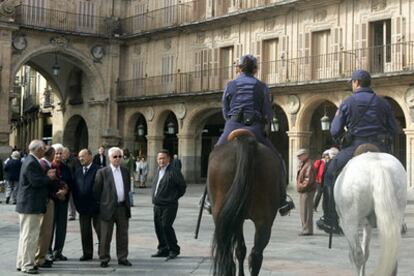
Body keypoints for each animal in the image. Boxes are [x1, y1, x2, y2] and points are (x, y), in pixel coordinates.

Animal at [207, 132, 284, 276]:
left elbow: (239, 250)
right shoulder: (238, 218)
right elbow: (241, 250)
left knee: (232, 254)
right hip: (262, 220)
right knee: (255, 254)